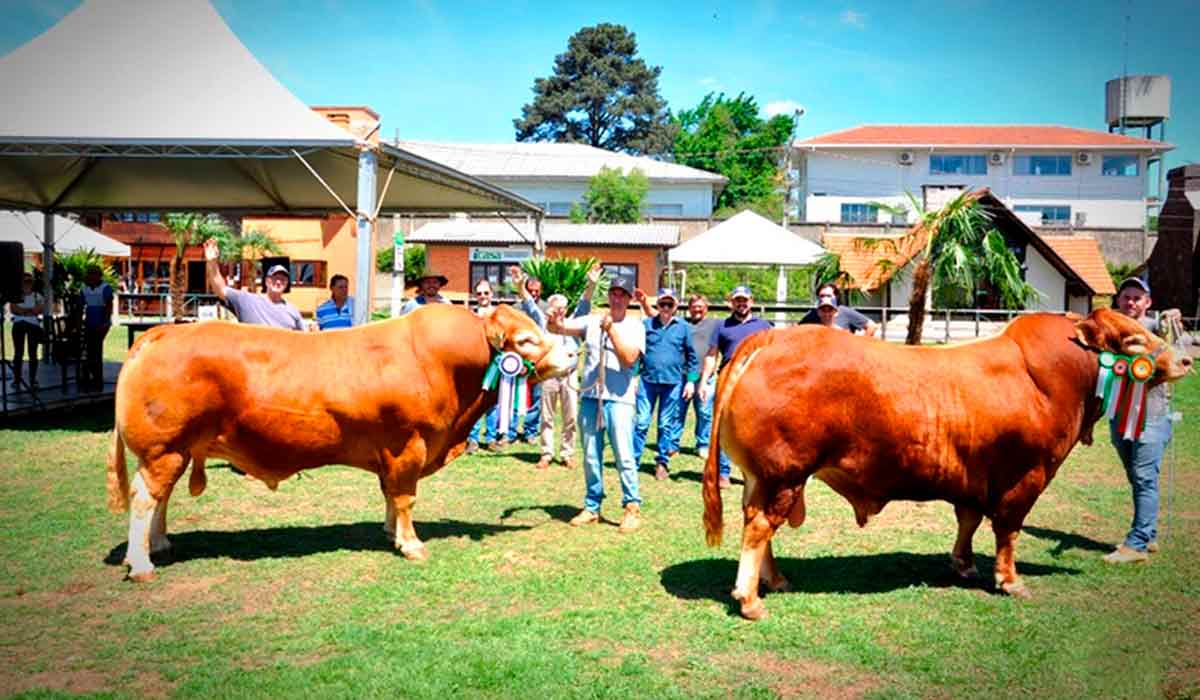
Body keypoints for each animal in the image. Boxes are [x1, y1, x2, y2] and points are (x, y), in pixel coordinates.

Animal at [108, 303, 576, 583]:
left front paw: (390, 532)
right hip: (164, 449)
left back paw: (159, 544)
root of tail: (160, 334)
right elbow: (405, 496)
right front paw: (411, 544)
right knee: (145, 498)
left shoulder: (390, 452)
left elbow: (390, 494)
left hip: (175, 450)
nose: (573, 355)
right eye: (527, 340)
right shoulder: (409, 444)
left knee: (160, 498)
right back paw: (143, 563)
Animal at [700, 309, 1190, 619]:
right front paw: (1010, 580)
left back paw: (776, 580)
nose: (1185, 359)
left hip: (760, 477)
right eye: (1133, 340)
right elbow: (1007, 531)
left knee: (755, 523)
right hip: (785, 473)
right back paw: (750, 600)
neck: (1048, 379)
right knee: (759, 527)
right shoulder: (1026, 475)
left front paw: (964, 564)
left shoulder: (972, 478)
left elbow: (968, 519)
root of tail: (770, 337)